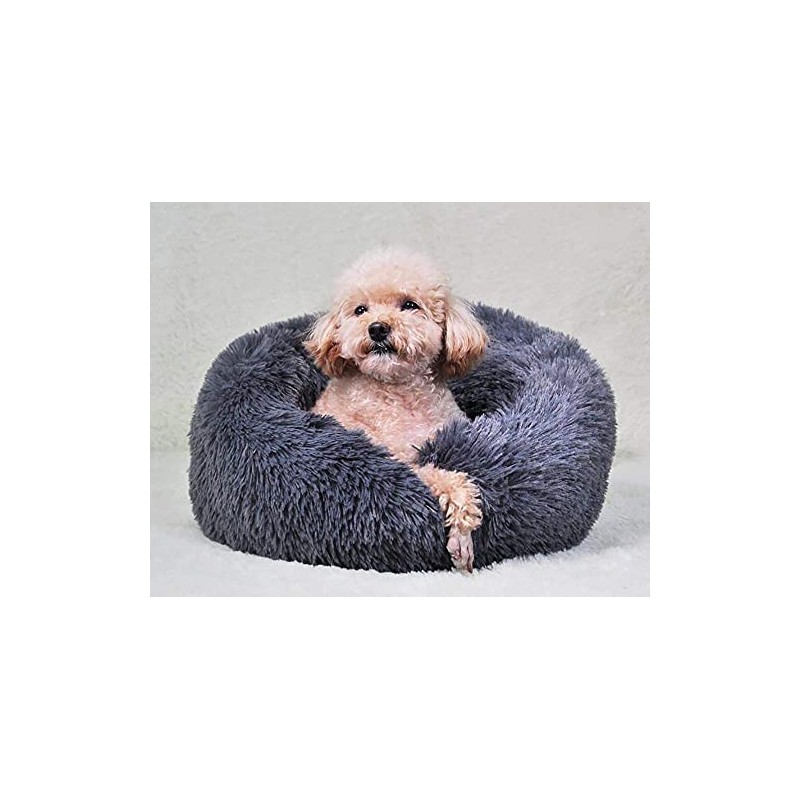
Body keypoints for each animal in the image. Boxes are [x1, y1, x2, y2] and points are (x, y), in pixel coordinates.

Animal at [304, 248, 488, 571]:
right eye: (360, 310)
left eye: (409, 305)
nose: (377, 328)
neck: (399, 392)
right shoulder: (400, 461)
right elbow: (445, 478)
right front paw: (462, 534)